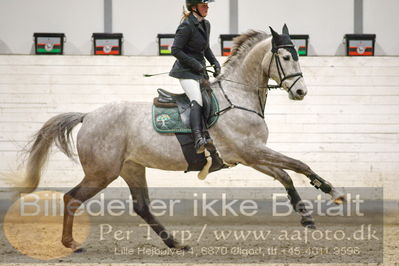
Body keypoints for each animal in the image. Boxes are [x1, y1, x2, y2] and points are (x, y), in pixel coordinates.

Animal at [7, 26, 344, 251]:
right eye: (286, 56)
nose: (300, 92)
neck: (238, 97)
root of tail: (88, 116)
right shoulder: (252, 150)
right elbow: (297, 164)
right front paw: (332, 191)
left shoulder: (248, 155)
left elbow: (284, 174)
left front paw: (306, 216)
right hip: (102, 172)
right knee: (72, 198)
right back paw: (71, 243)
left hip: (131, 167)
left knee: (141, 207)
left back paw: (176, 243)